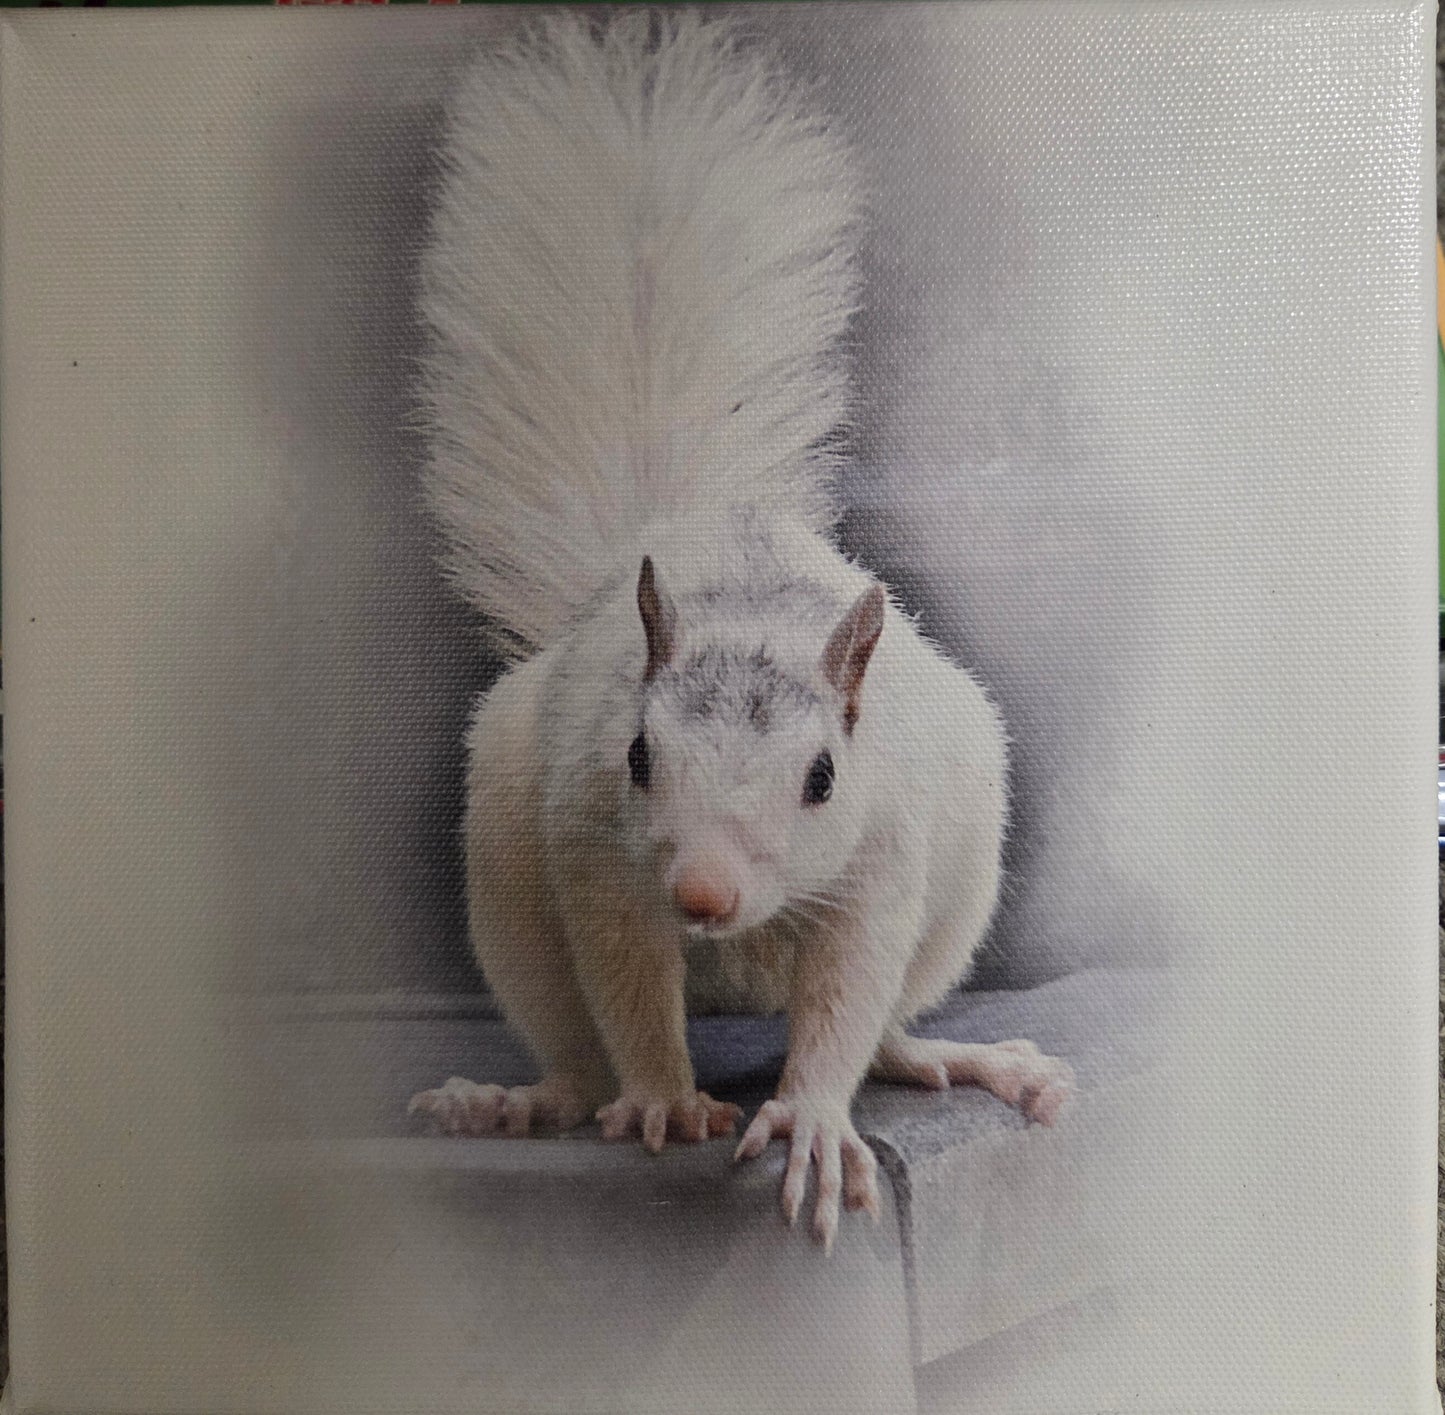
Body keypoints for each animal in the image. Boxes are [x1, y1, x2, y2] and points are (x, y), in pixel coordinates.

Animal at [407, 10, 1074, 1252]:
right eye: (636, 754)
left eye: (820, 776)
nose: (705, 894)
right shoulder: (592, 845)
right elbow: (625, 980)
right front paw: (663, 1098)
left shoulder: (884, 855)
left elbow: (848, 992)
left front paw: (809, 1120)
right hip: (508, 886)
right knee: (575, 1050)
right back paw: (518, 1097)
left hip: (958, 886)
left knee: (889, 1025)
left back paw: (969, 1057)